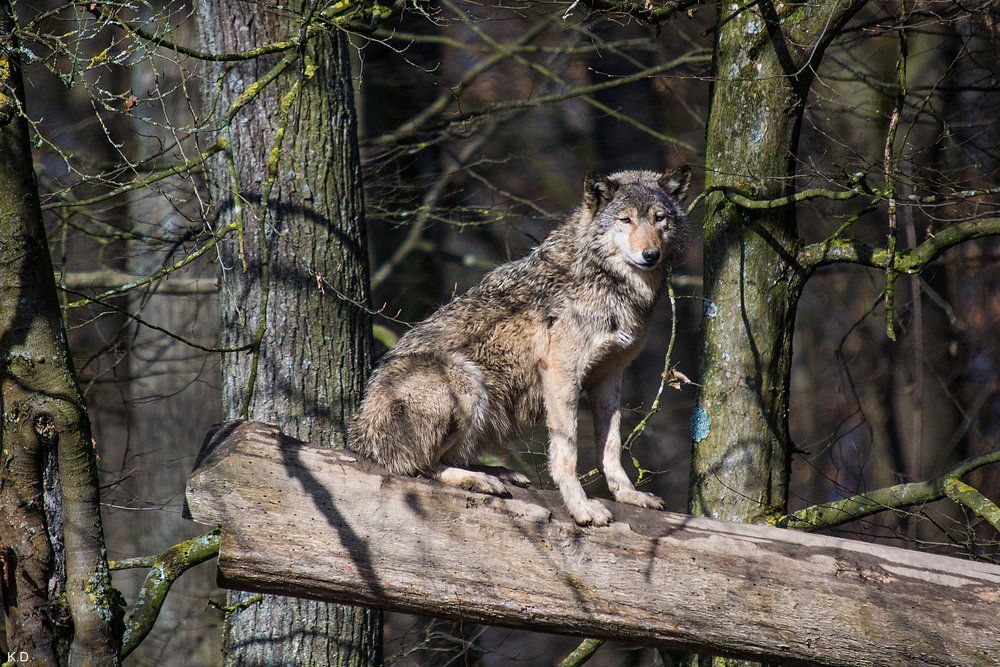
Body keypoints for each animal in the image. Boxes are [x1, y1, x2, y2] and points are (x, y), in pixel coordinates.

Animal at [349, 166, 690, 526]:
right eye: (625, 220)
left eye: (659, 219)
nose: (650, 255)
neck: (607, 281)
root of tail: (359, 432)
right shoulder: (561, 371)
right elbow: (567, 452)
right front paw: (580, 507)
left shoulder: (609, 376)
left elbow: (611, 445)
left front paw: (629, 495)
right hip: (463, 378)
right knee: (419, 466)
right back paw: (479, 479)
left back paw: (502, 474)